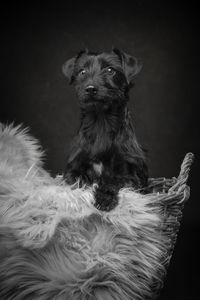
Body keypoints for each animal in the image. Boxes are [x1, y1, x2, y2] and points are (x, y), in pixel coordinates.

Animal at [62, 48, 148, 211]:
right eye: (82, 72)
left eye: (110, 70)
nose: (90, 89)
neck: (101, 121)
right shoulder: (73, 167)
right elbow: (76, 180)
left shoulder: (130, 175)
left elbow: (112, 181)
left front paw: (103, 199)